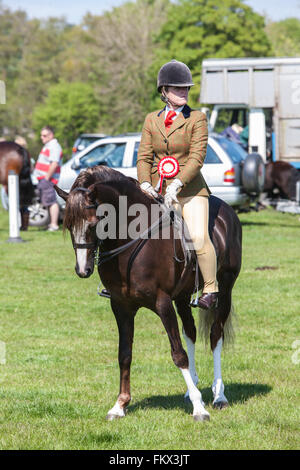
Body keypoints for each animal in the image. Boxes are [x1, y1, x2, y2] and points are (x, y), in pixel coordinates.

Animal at [55, 166, 243, 422]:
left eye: (94, 223)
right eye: (68, 226)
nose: (83, 270)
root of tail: (226, 209)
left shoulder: (162, 303)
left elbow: (178, 354)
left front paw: (199, 409)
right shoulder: (121, 306)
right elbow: (124, 353)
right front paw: (120, 405)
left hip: (225, 289)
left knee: (215, 335)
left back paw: (218, 395)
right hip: (182, 297)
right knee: (191, 332)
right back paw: (192, 387)